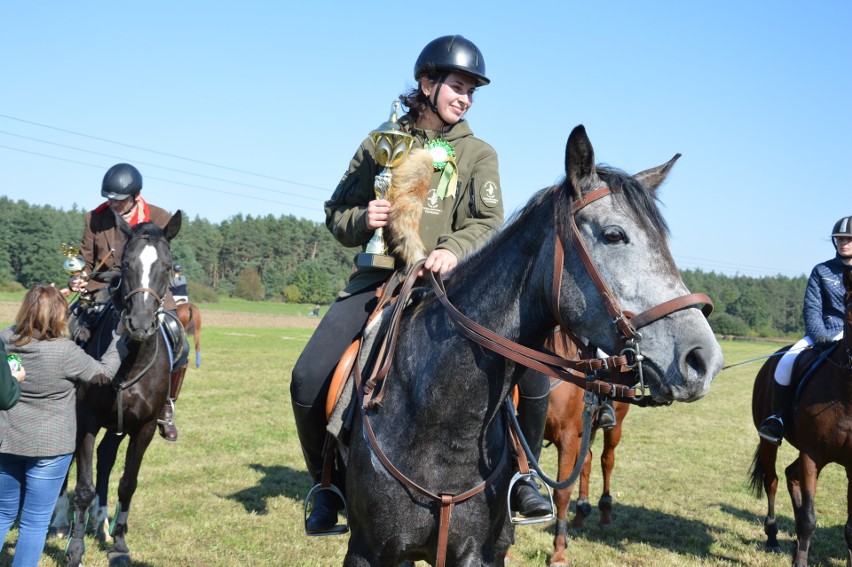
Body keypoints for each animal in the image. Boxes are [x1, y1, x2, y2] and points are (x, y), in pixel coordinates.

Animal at [64, 211, 181, 564]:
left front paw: (118, 544)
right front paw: (75, 549)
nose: (140, 325)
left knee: (106, 459)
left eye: (167, 266)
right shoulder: (86, 421)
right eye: (126, 264)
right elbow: (83, 487)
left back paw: (102, 524)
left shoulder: (142, 428)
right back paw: (63, 523)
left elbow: (127, 483)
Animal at [544, 332, 628, 567]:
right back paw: (581, 512)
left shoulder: (567, 437)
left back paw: (605, 512)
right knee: (587, 460)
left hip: (615, 427)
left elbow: (562, 493)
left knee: (607, 460)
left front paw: (559, 552)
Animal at [748, 266, 852, 567]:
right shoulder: (812, 453)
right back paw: (773, 538)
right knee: (772, 481)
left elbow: (850, 528)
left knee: (790, 474)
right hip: (769, 440)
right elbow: (808, 518)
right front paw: (800, 560)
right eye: (850, 313)